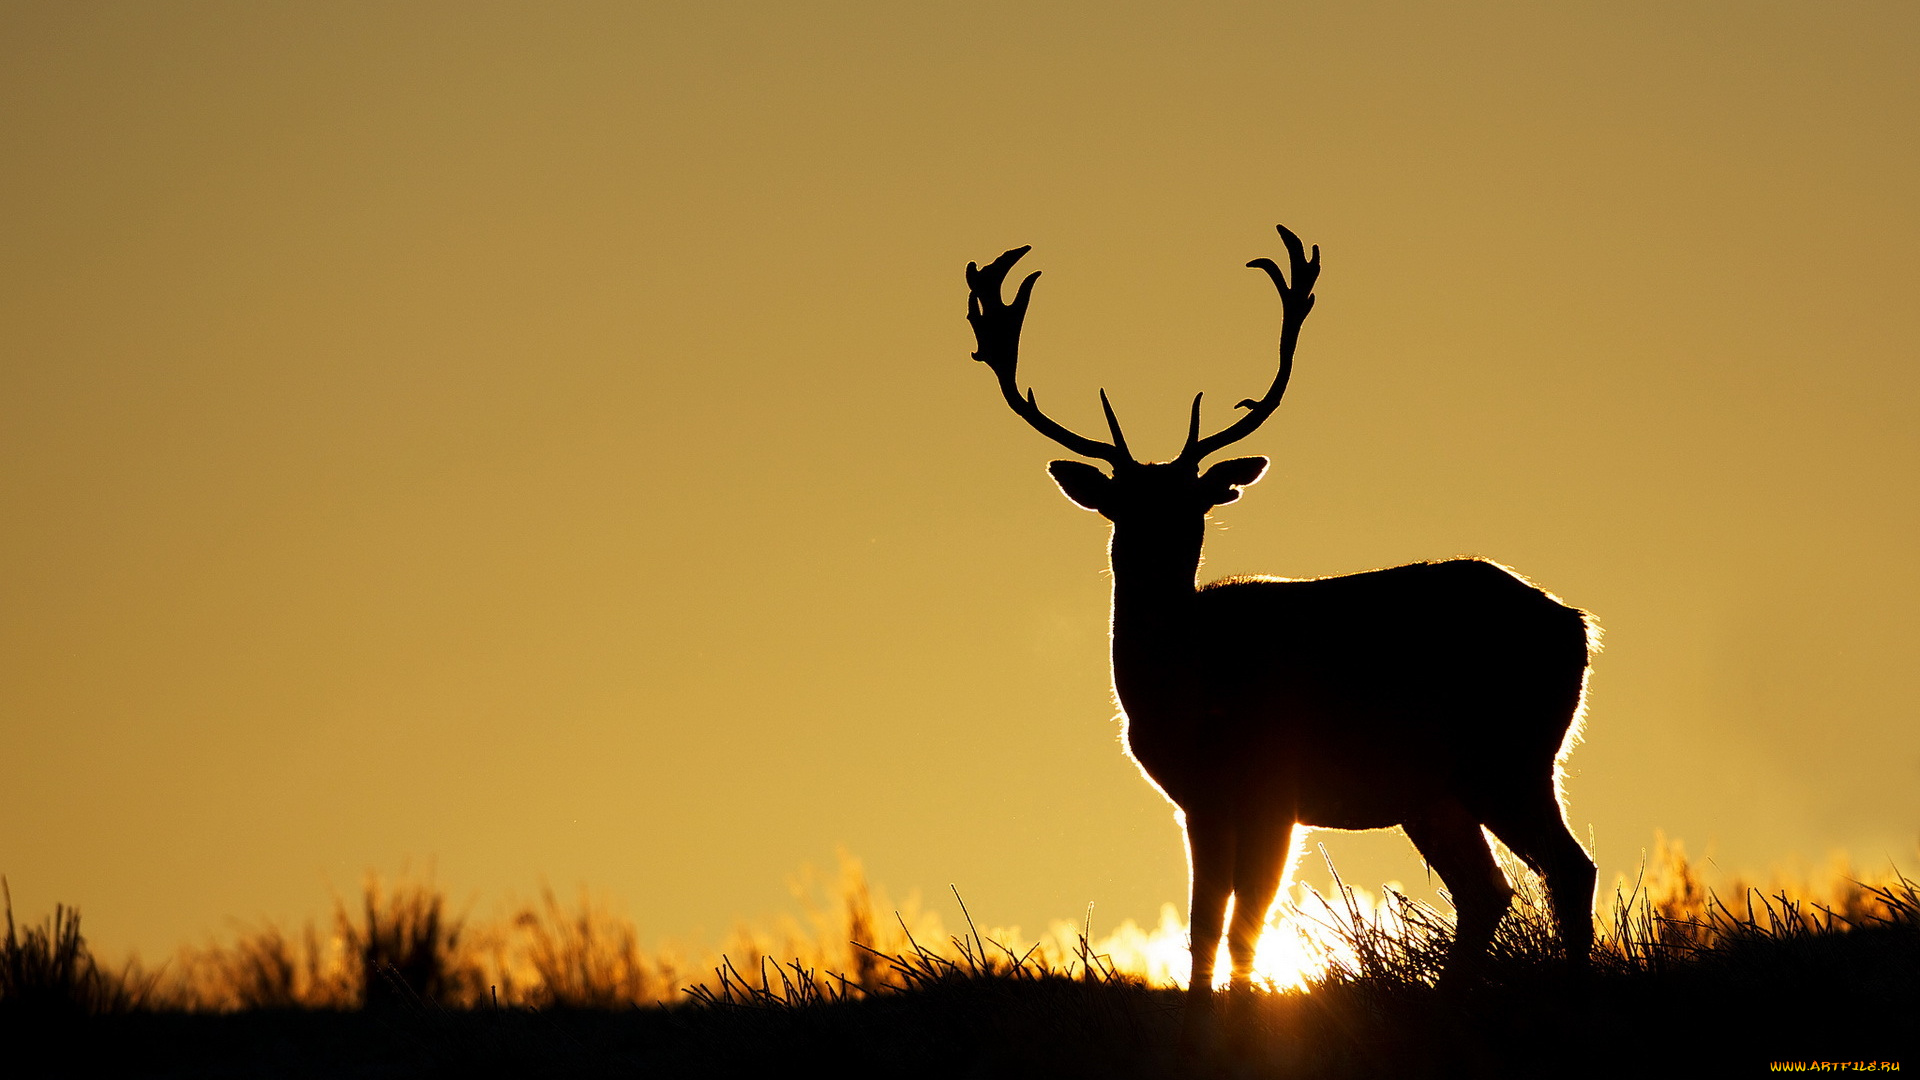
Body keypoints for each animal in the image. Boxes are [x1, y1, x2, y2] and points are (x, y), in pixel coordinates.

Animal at [967, 222, 1597, 999]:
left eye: (1197, 504)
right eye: (1124, 506)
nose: (1158, 556)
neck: (1189, 691)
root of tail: (1578, 625)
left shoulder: (1274, 787)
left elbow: (1247, 921)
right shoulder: (1200, 802)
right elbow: (1204, 923)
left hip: (1508, 753)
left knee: (1568, 868)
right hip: (1437, 789)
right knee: (1488, 889)